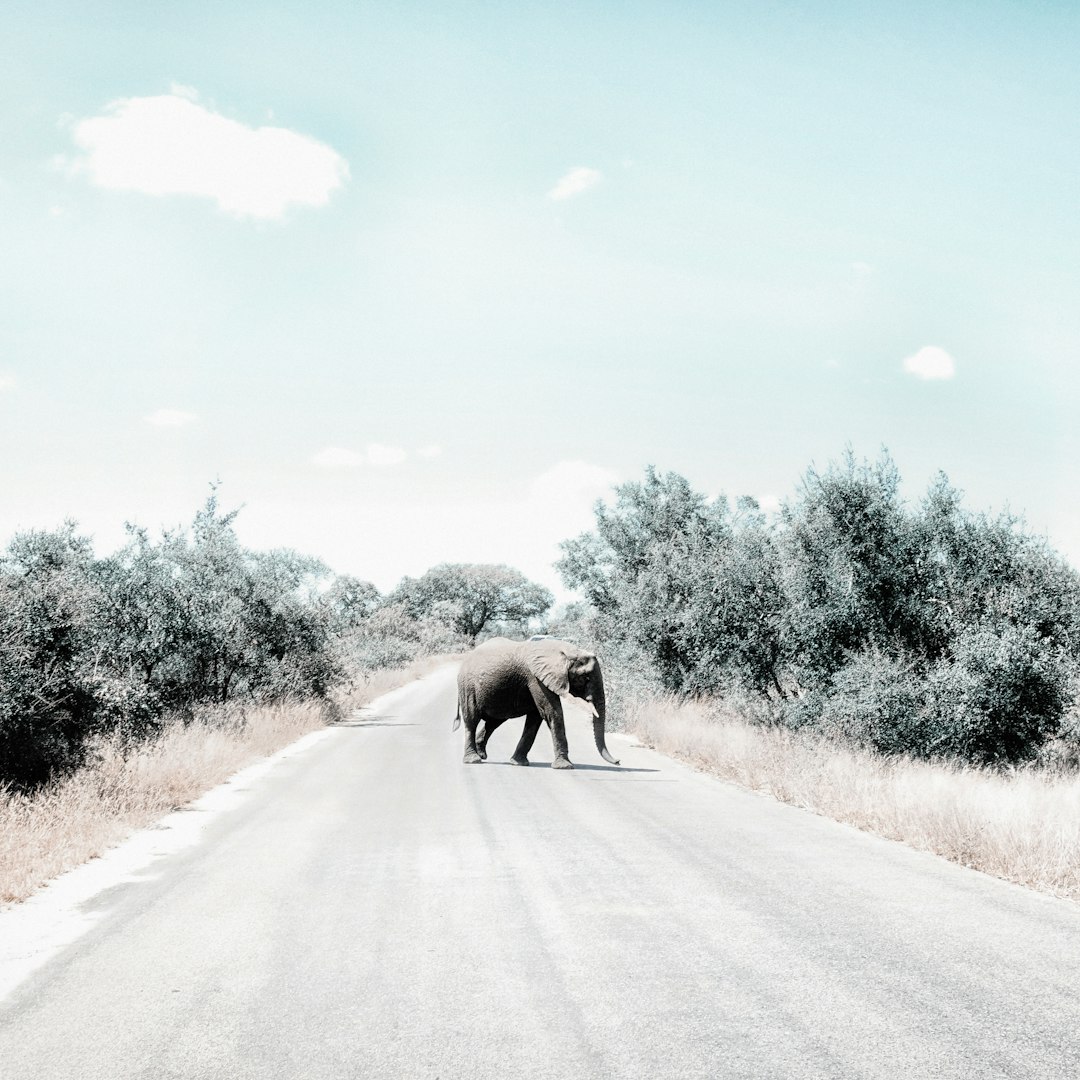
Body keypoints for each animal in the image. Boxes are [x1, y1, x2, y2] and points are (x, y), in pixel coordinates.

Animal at [449, 635, 617, 773]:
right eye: (585, 678)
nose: (618, 761)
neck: (565, 650)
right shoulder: (536, 678)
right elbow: (552, 712)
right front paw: (565, 767)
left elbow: (536, 718)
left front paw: (519, 763)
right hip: (467, 686)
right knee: (472, 720)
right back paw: (473, 760)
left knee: (493, 722)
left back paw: (482, 754)